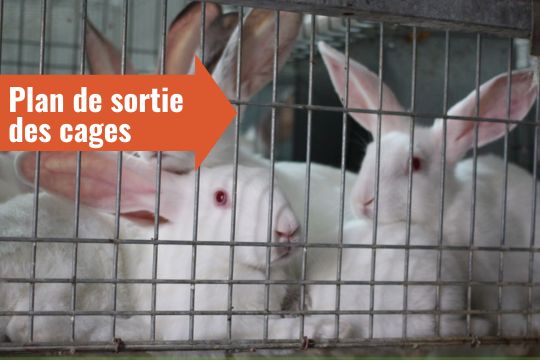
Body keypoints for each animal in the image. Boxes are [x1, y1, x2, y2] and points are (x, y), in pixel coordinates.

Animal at [3, 151, 330, 344]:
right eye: (220, 197)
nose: (288, 228)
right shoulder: (206, 322)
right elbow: (256, 330)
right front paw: (317, 328)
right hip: (77, 265)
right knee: (33, 326)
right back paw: (136, 329)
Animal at [318, 40, 540, 336]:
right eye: (369, 153)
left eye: (415, 163)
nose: (363, 201)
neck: (439, 217)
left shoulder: (500, 272)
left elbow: (508, 309)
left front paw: (514, 329)